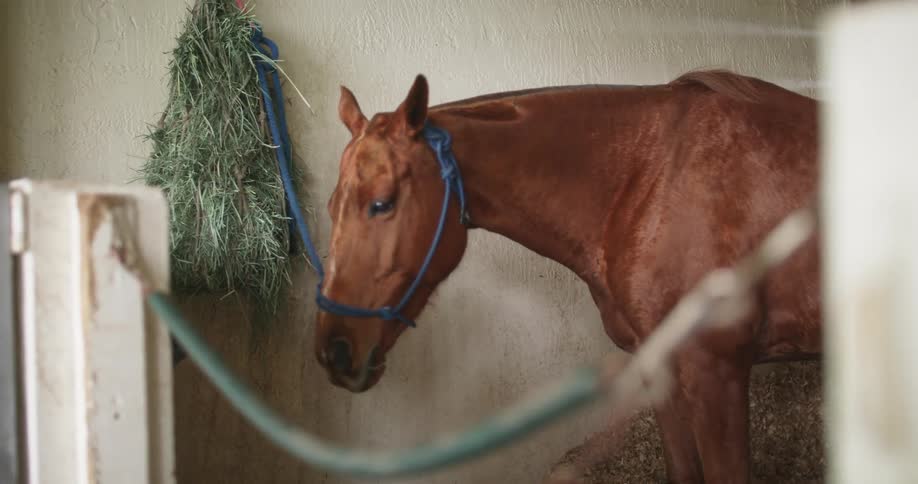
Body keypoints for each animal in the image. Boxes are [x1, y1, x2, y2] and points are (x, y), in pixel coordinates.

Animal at [313, 69, 821, 483]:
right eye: (332, 206)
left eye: (381, 202)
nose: (334, 352)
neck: (651, 176)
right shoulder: (661, 365)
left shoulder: (718, 371)